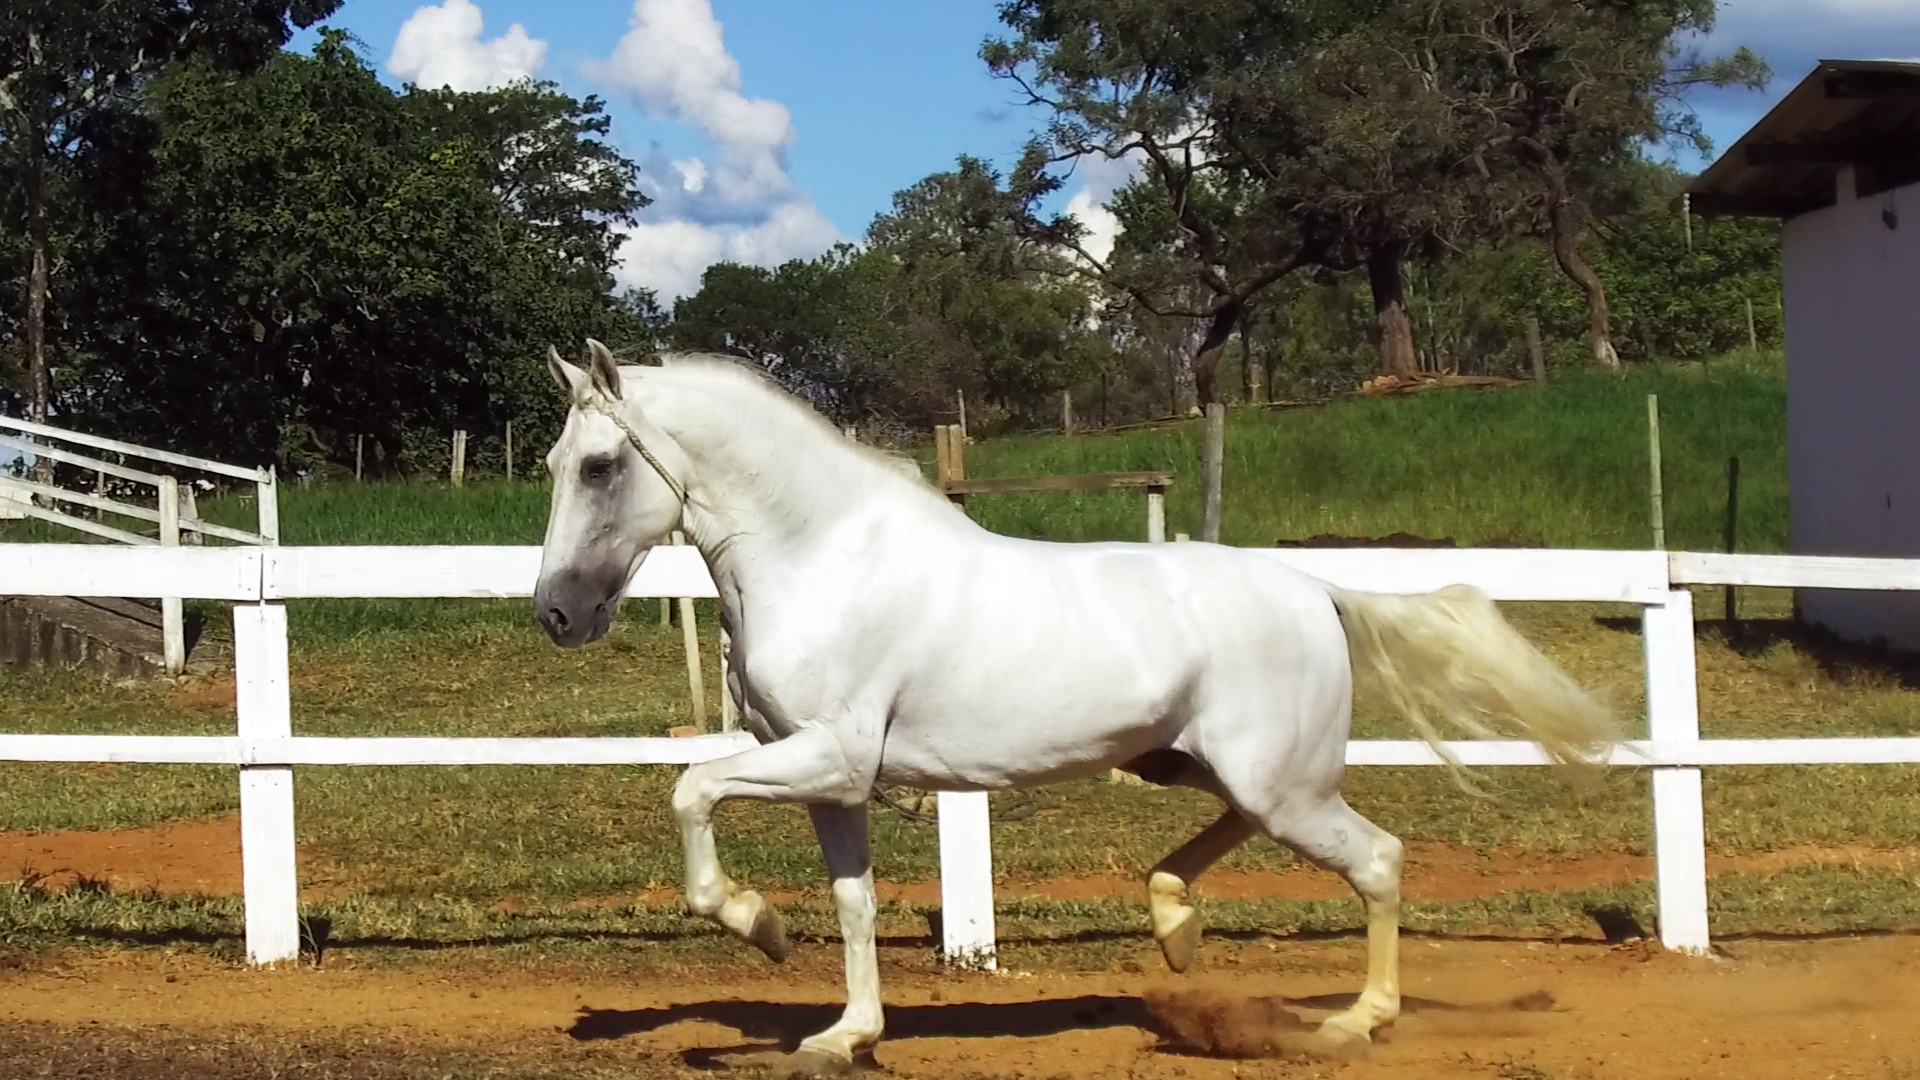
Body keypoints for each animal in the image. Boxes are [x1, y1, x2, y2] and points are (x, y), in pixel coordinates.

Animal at [532, 340, 1617, 1074]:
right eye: (551, 465)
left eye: (599, 466)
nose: (556, 614)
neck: (823, 557)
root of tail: (1315, 589)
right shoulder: (834, 784)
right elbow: (852, 905)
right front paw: (846, 1033)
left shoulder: (828, 757)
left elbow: (690, 789)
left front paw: (757, 926)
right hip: (1210, 768)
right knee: (1230, 840)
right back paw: (1175, 930)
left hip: (1285, 786)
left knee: (1381, 862)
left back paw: (1354, 1021)